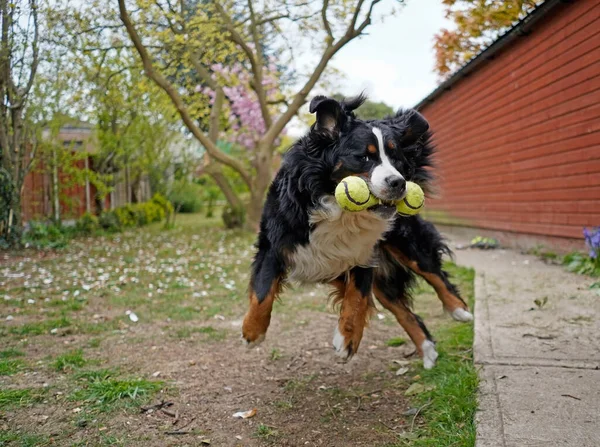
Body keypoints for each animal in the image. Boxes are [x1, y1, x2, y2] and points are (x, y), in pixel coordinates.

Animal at [241, 95, 472, 372]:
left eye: (396, 159)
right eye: (364, 157)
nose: (399, 183)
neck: (339, 210)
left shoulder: (364, 252)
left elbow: (358, 297)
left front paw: (347, 338)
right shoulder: (275, 243)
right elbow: (262, 292)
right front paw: (253, 331)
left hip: (406, 243)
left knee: (434, 273)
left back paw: (459, 310)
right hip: (383, 282)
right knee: (405, 311)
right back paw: (427, 349)